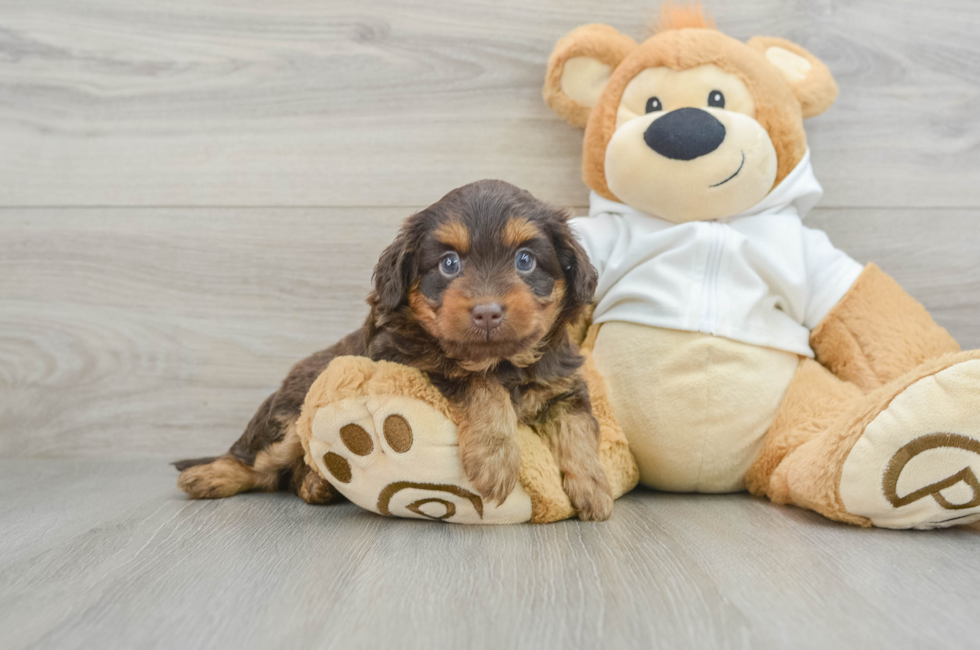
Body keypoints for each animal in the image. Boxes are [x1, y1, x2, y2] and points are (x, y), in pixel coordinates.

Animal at [176, 178, 612, 520]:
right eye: (449, 264)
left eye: (525, 260)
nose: (487, 312)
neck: (500, 360)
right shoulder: (408, 357)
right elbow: (479, 384)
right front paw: (495, 459)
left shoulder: (563, 386)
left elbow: (578, 429)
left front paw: (593, 486)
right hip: (289, 415)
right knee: (260, 461)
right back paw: (210, 476)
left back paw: (316, 484)